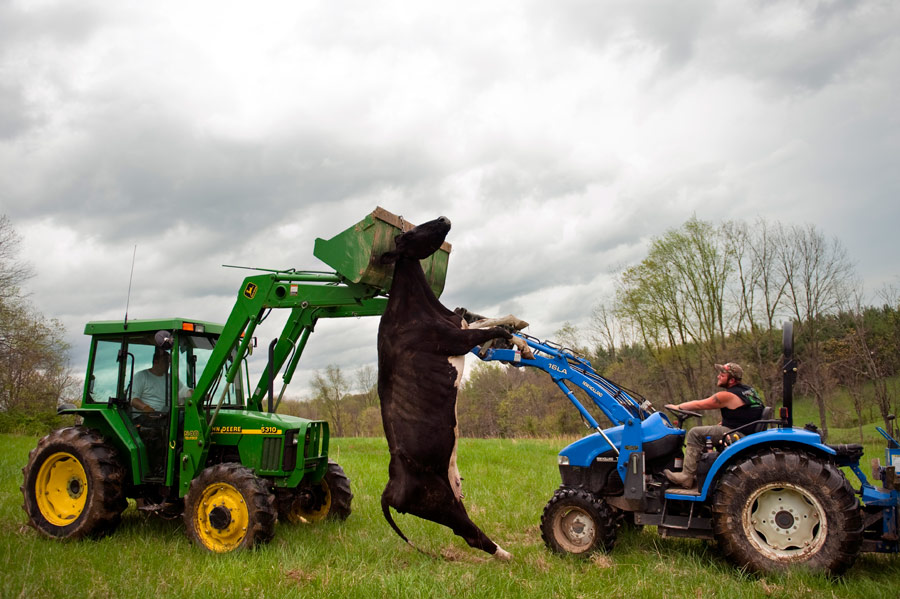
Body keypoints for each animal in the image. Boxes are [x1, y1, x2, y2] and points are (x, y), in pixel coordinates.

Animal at [374, 217, 512, 564]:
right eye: (407, 234)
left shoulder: (459, 323)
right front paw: (507, 331)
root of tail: (388, 489)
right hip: (440, 503)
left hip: (450, 496)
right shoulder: (453, 339)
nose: (442, 219)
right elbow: (487, 329)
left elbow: (476, 319)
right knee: (472, 535)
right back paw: (506, 554)